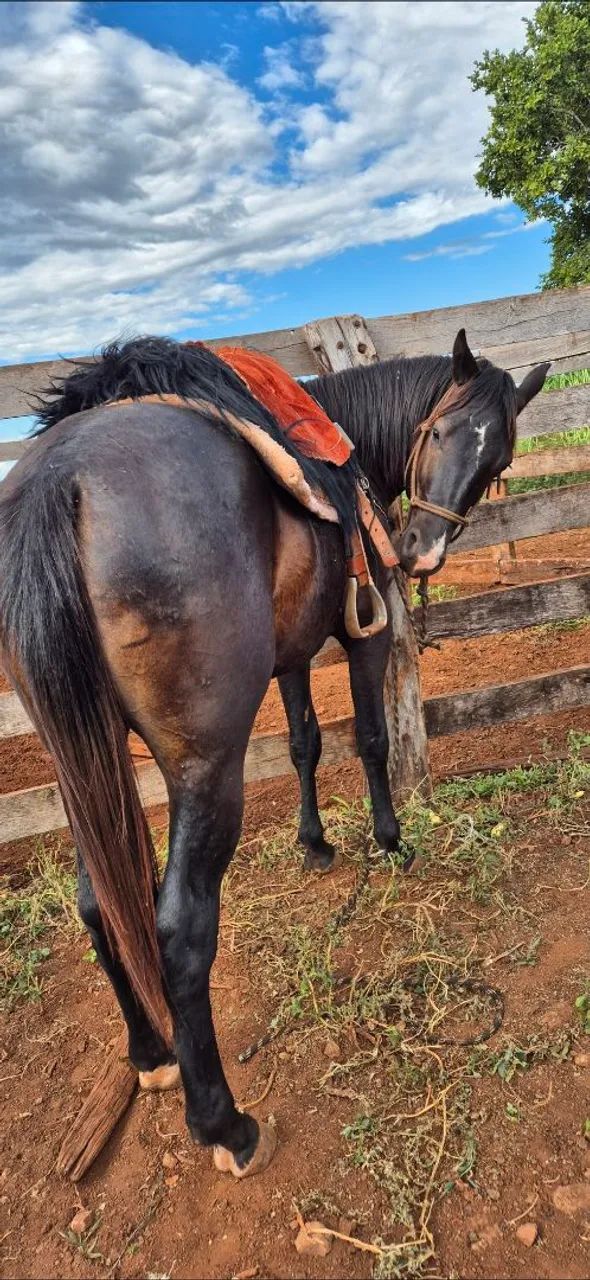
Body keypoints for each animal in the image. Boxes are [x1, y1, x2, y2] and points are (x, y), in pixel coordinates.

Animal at [0, 328, 548, 1179]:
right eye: (438, 432)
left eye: (499, 461)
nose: (420, 554)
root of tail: (64, 481)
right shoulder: (365, 635)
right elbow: (369, 737)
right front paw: (389, 841)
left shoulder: (291, 655)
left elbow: (303, 742)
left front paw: (315, 843)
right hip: (204, 768)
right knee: (179, 931)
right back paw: (224, 1125)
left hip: (82, 762)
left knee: (99, 902)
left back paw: (151, 1053)